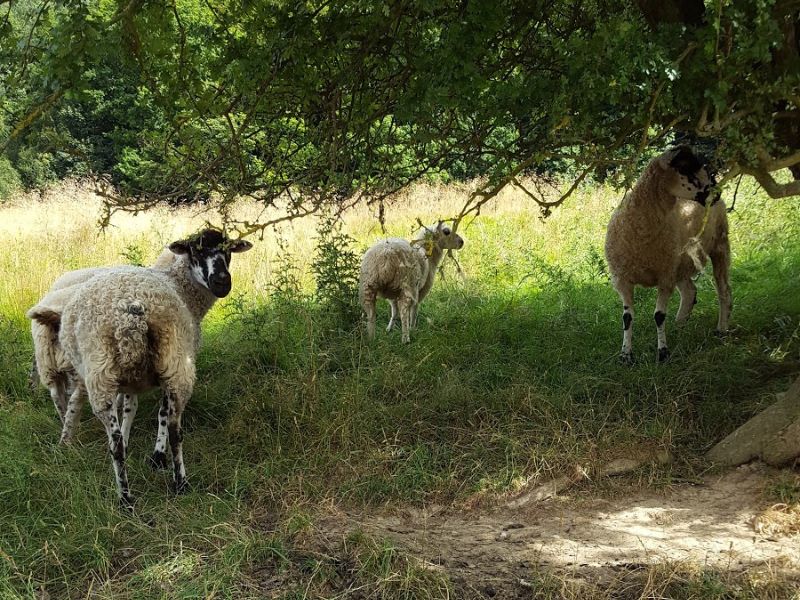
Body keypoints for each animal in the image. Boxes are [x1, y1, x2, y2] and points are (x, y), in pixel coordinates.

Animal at [28, 229, 252, 506]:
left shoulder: (135, 378)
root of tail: (133, 311)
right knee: (149, 431)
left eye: (229, 249)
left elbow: (132, 409)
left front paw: (140, 445)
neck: (180, 288)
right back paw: (147, 489)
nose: (222, 282)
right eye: (196, 251)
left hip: (104, 370)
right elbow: (149, 412)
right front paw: (156, 455)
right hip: (147, 366)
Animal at [604, 145, 732, 363]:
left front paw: (663, 353)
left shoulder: (664, 277)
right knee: (690, 291)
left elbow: (659, 315)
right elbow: (627, 318)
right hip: (679, 264)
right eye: (686, 169)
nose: (715, 192)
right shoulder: (622, 279)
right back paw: (679, 325)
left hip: (719, 247)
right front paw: (626, 355)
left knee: (723, 290)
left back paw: (722, 329)